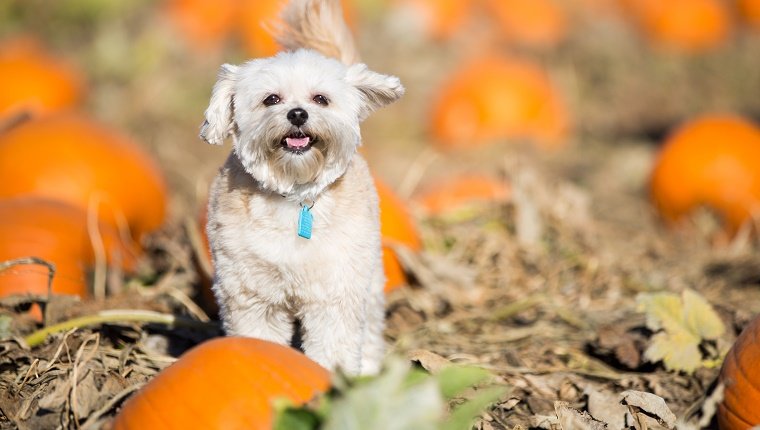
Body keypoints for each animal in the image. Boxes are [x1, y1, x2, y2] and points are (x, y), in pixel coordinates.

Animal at [200, 0, 404, 374]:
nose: (297, 114)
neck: (294, 196)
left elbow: (335, 347)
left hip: (368, 278)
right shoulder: (252, 294)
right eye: (271, 99)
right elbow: (258, 337)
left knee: (369, 328)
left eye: (320, 99)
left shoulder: (336, 293)